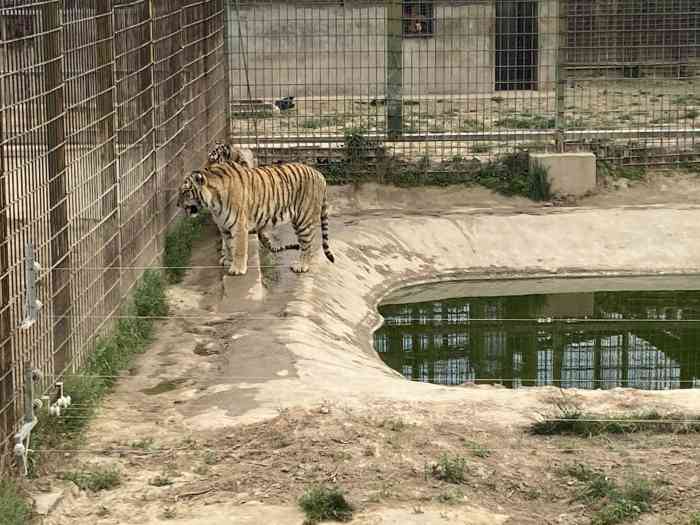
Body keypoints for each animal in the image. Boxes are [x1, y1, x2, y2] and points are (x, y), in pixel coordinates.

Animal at [179, 161, 334, 274]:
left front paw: (237, 269)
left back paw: (302, 266)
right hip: (298, 221)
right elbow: (228, 245)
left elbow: (239, 248)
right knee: (303, 244)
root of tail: (319, 174)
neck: (213, 203)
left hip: (304, 219)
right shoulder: (224, 227)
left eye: (185, 192)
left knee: (308, 244)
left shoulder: (239, 226)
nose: (177, 204)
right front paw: (228, 261)